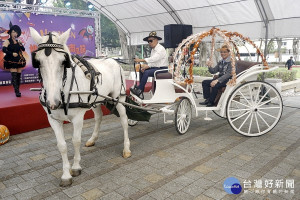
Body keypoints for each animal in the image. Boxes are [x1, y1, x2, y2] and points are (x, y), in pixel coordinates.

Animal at [29, 27, 131, 187]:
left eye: (63, 62)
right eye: (37, 61)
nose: (53, 102)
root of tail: (112, 59)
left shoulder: (77, 118)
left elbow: (75, 140)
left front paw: (76, 167)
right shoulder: (52, 119)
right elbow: (62, 145)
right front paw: (66, 175)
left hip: (119, 98)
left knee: (124, 121)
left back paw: (126, 148)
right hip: (96, 99)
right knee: (98, 117)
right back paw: (93, 139)